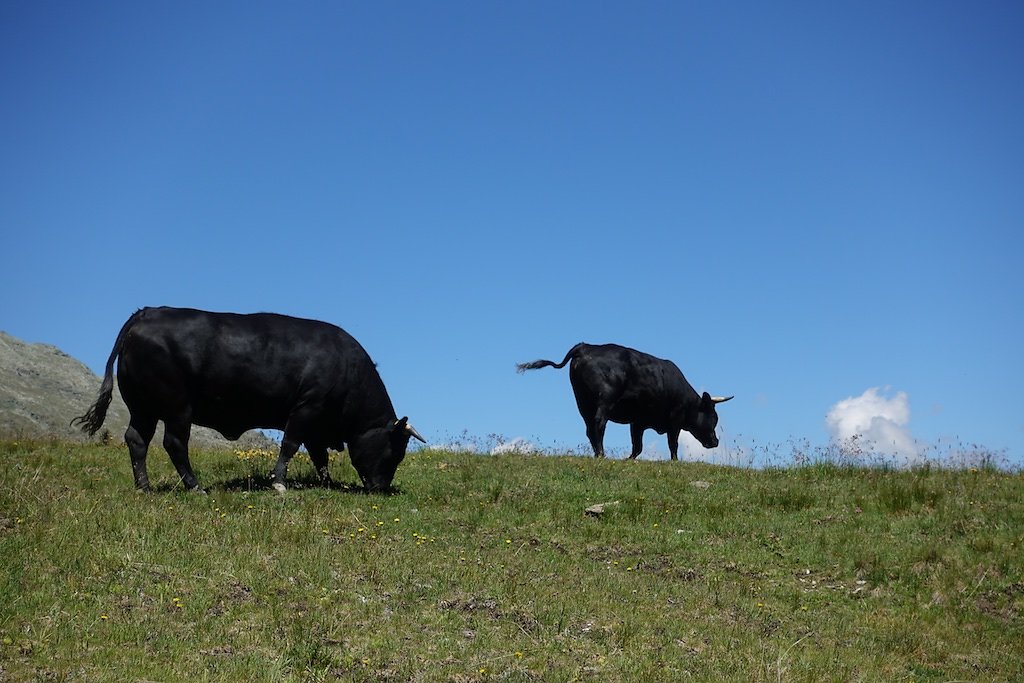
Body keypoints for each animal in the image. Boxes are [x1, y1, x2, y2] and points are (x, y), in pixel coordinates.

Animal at [73, 307, 423, 493]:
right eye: (394, 451)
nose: (380, 487)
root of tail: (146, 313)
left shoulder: (316, 423)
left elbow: (319, 456)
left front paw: (326, 483)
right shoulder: (306, 409)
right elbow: (291, 446)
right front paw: (279, 483)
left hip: (143, 407)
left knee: (137, 440)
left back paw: (144, 487)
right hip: (176, 407)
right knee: (174, 443)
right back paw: (195, 486)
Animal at [516, 344, 733, 462]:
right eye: (714, 417)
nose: (715, 442)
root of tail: (585, 346)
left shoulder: (638, 422)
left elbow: (637, 446)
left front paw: (628, 459)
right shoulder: (675, 421)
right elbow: (673, 444)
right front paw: (675, 461)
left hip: (582, 402)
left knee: (589, 428)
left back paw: (597, 453)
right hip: (604, 400)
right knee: (599, 424)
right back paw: (601, 454)